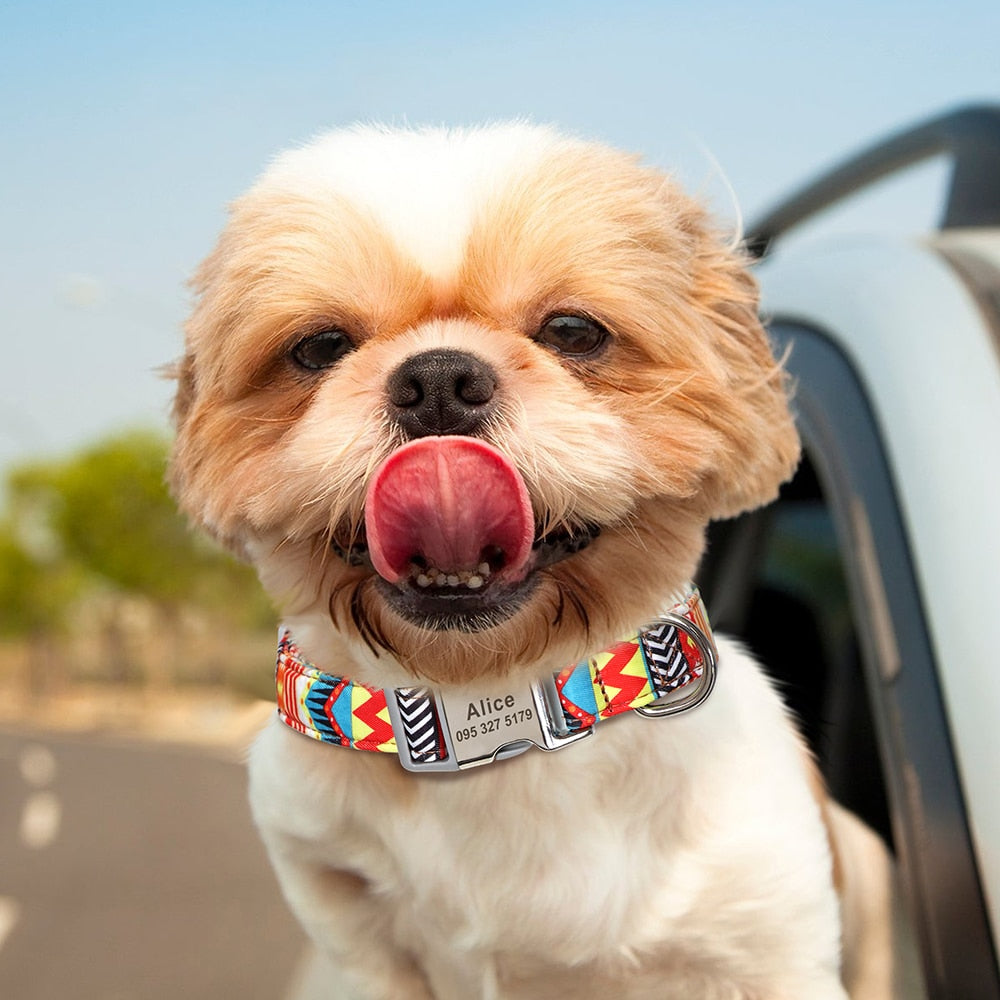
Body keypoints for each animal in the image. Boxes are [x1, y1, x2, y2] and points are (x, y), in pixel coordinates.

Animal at [172, 125, 908, 1000]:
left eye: (573, 332)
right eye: (319, 347)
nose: (438, 378)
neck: (496, 717)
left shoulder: (767, 943)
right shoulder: (353, 930)